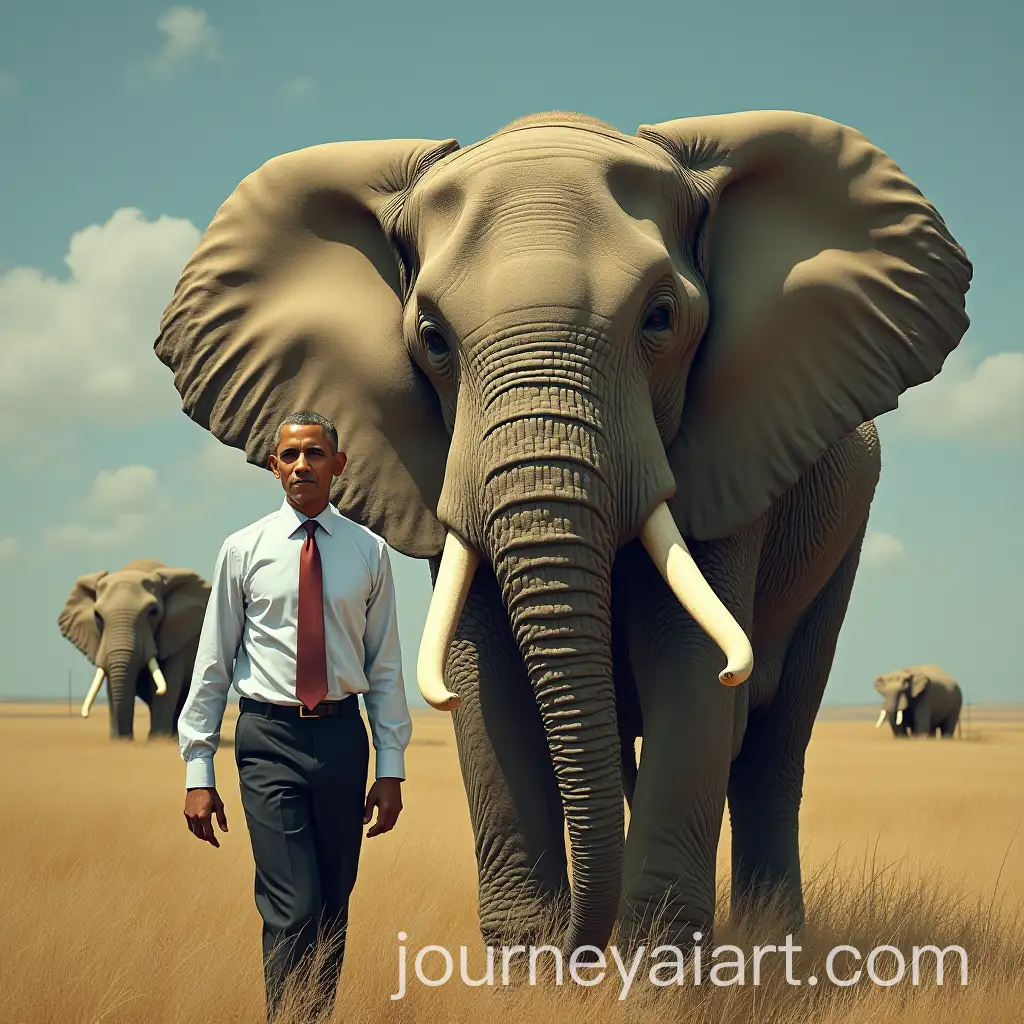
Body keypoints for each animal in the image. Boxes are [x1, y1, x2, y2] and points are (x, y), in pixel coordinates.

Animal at [58, 559, 211, 740]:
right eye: (97, 616)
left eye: (153, 612)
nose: (124, 738)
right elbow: (110, 683)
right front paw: (119, 741)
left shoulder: (176, 633)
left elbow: (168, 681)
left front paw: (157, 740)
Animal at [152, 109, 971, 954]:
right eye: (432, 339)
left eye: (660, 319)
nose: (582, 946)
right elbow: (483, 678)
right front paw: (530, 966)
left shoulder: (730, 455)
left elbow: (690, 667)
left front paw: (656, 972)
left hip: (842, 535)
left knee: (773, 745)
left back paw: (774, 940)